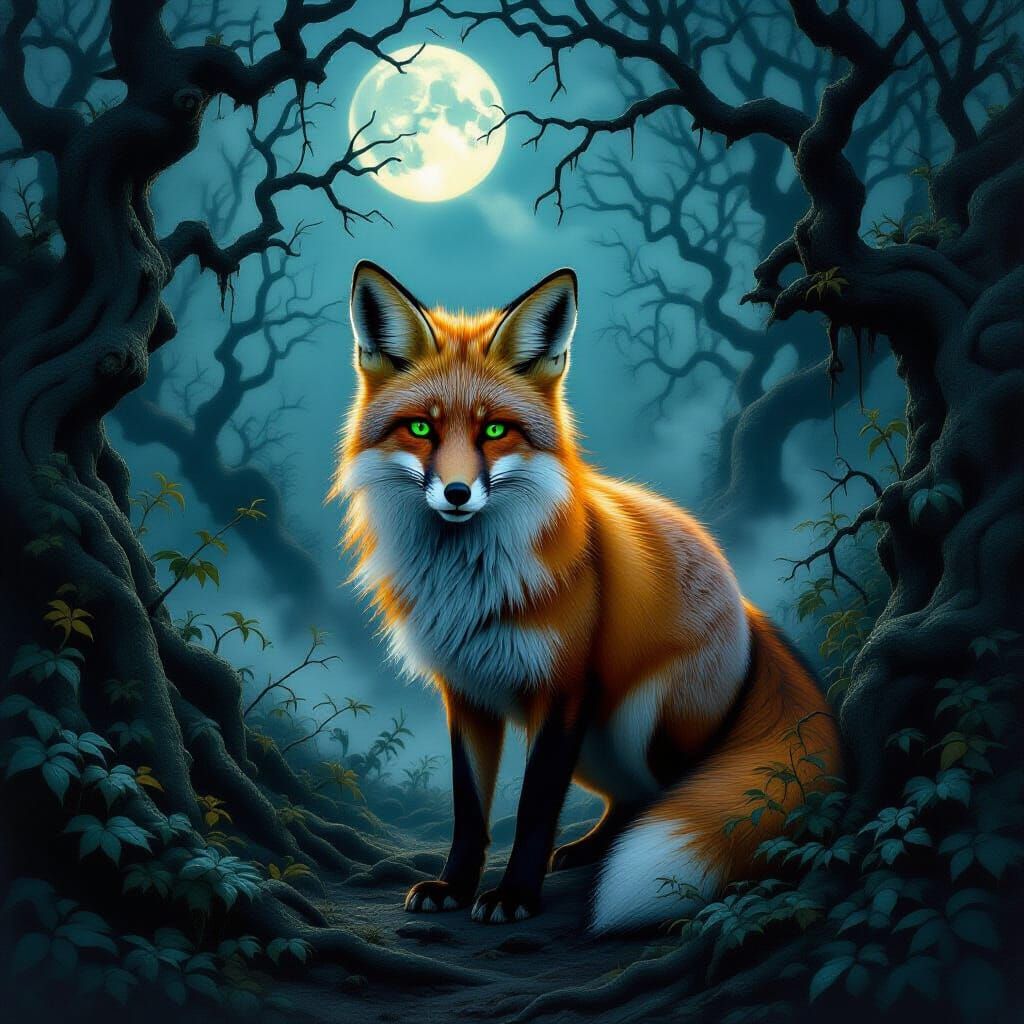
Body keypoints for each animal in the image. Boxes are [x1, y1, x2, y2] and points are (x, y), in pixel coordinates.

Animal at [331, 260, 842, 932]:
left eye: (495, 430)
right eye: (420, 428)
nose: (458, 493)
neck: (470, 584)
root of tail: (747, 607)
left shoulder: (563, 690)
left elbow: (533, 809)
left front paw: (514, 896)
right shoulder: (465, 692)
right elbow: (469, 811)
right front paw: (455, 887)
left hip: (640, 724)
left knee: (676, 793)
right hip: (599, 747)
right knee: (630, 799)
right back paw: (592, 850)